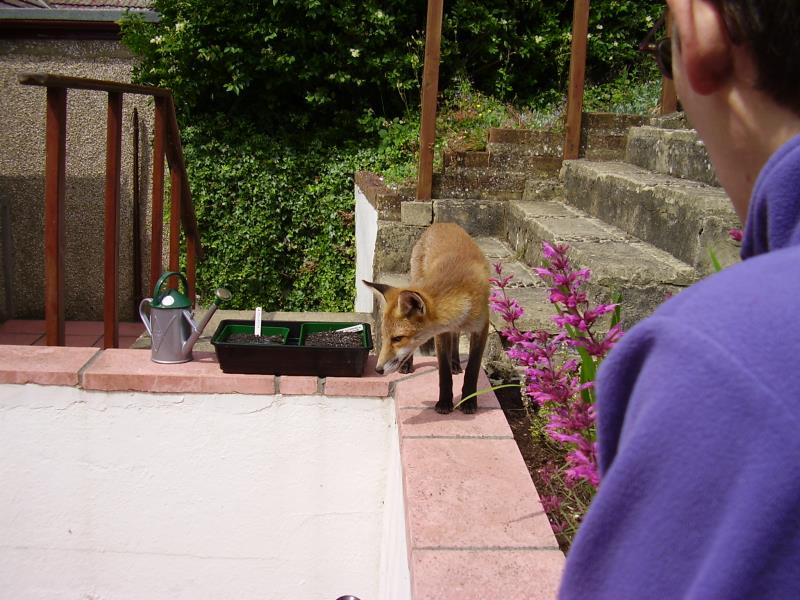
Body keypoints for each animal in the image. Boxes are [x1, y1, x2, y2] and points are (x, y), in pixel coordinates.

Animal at [366, 223, 490, 414]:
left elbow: (472, 369)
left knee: (456, 337)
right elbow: (443, 372)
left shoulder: (482, 327)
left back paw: (455, 362)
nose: (378, 370)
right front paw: (444, 402)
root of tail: (443, 223)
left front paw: (469, 401)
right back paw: (408, 365)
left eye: (397, 339)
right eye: (385, 338)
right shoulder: (441, 333)